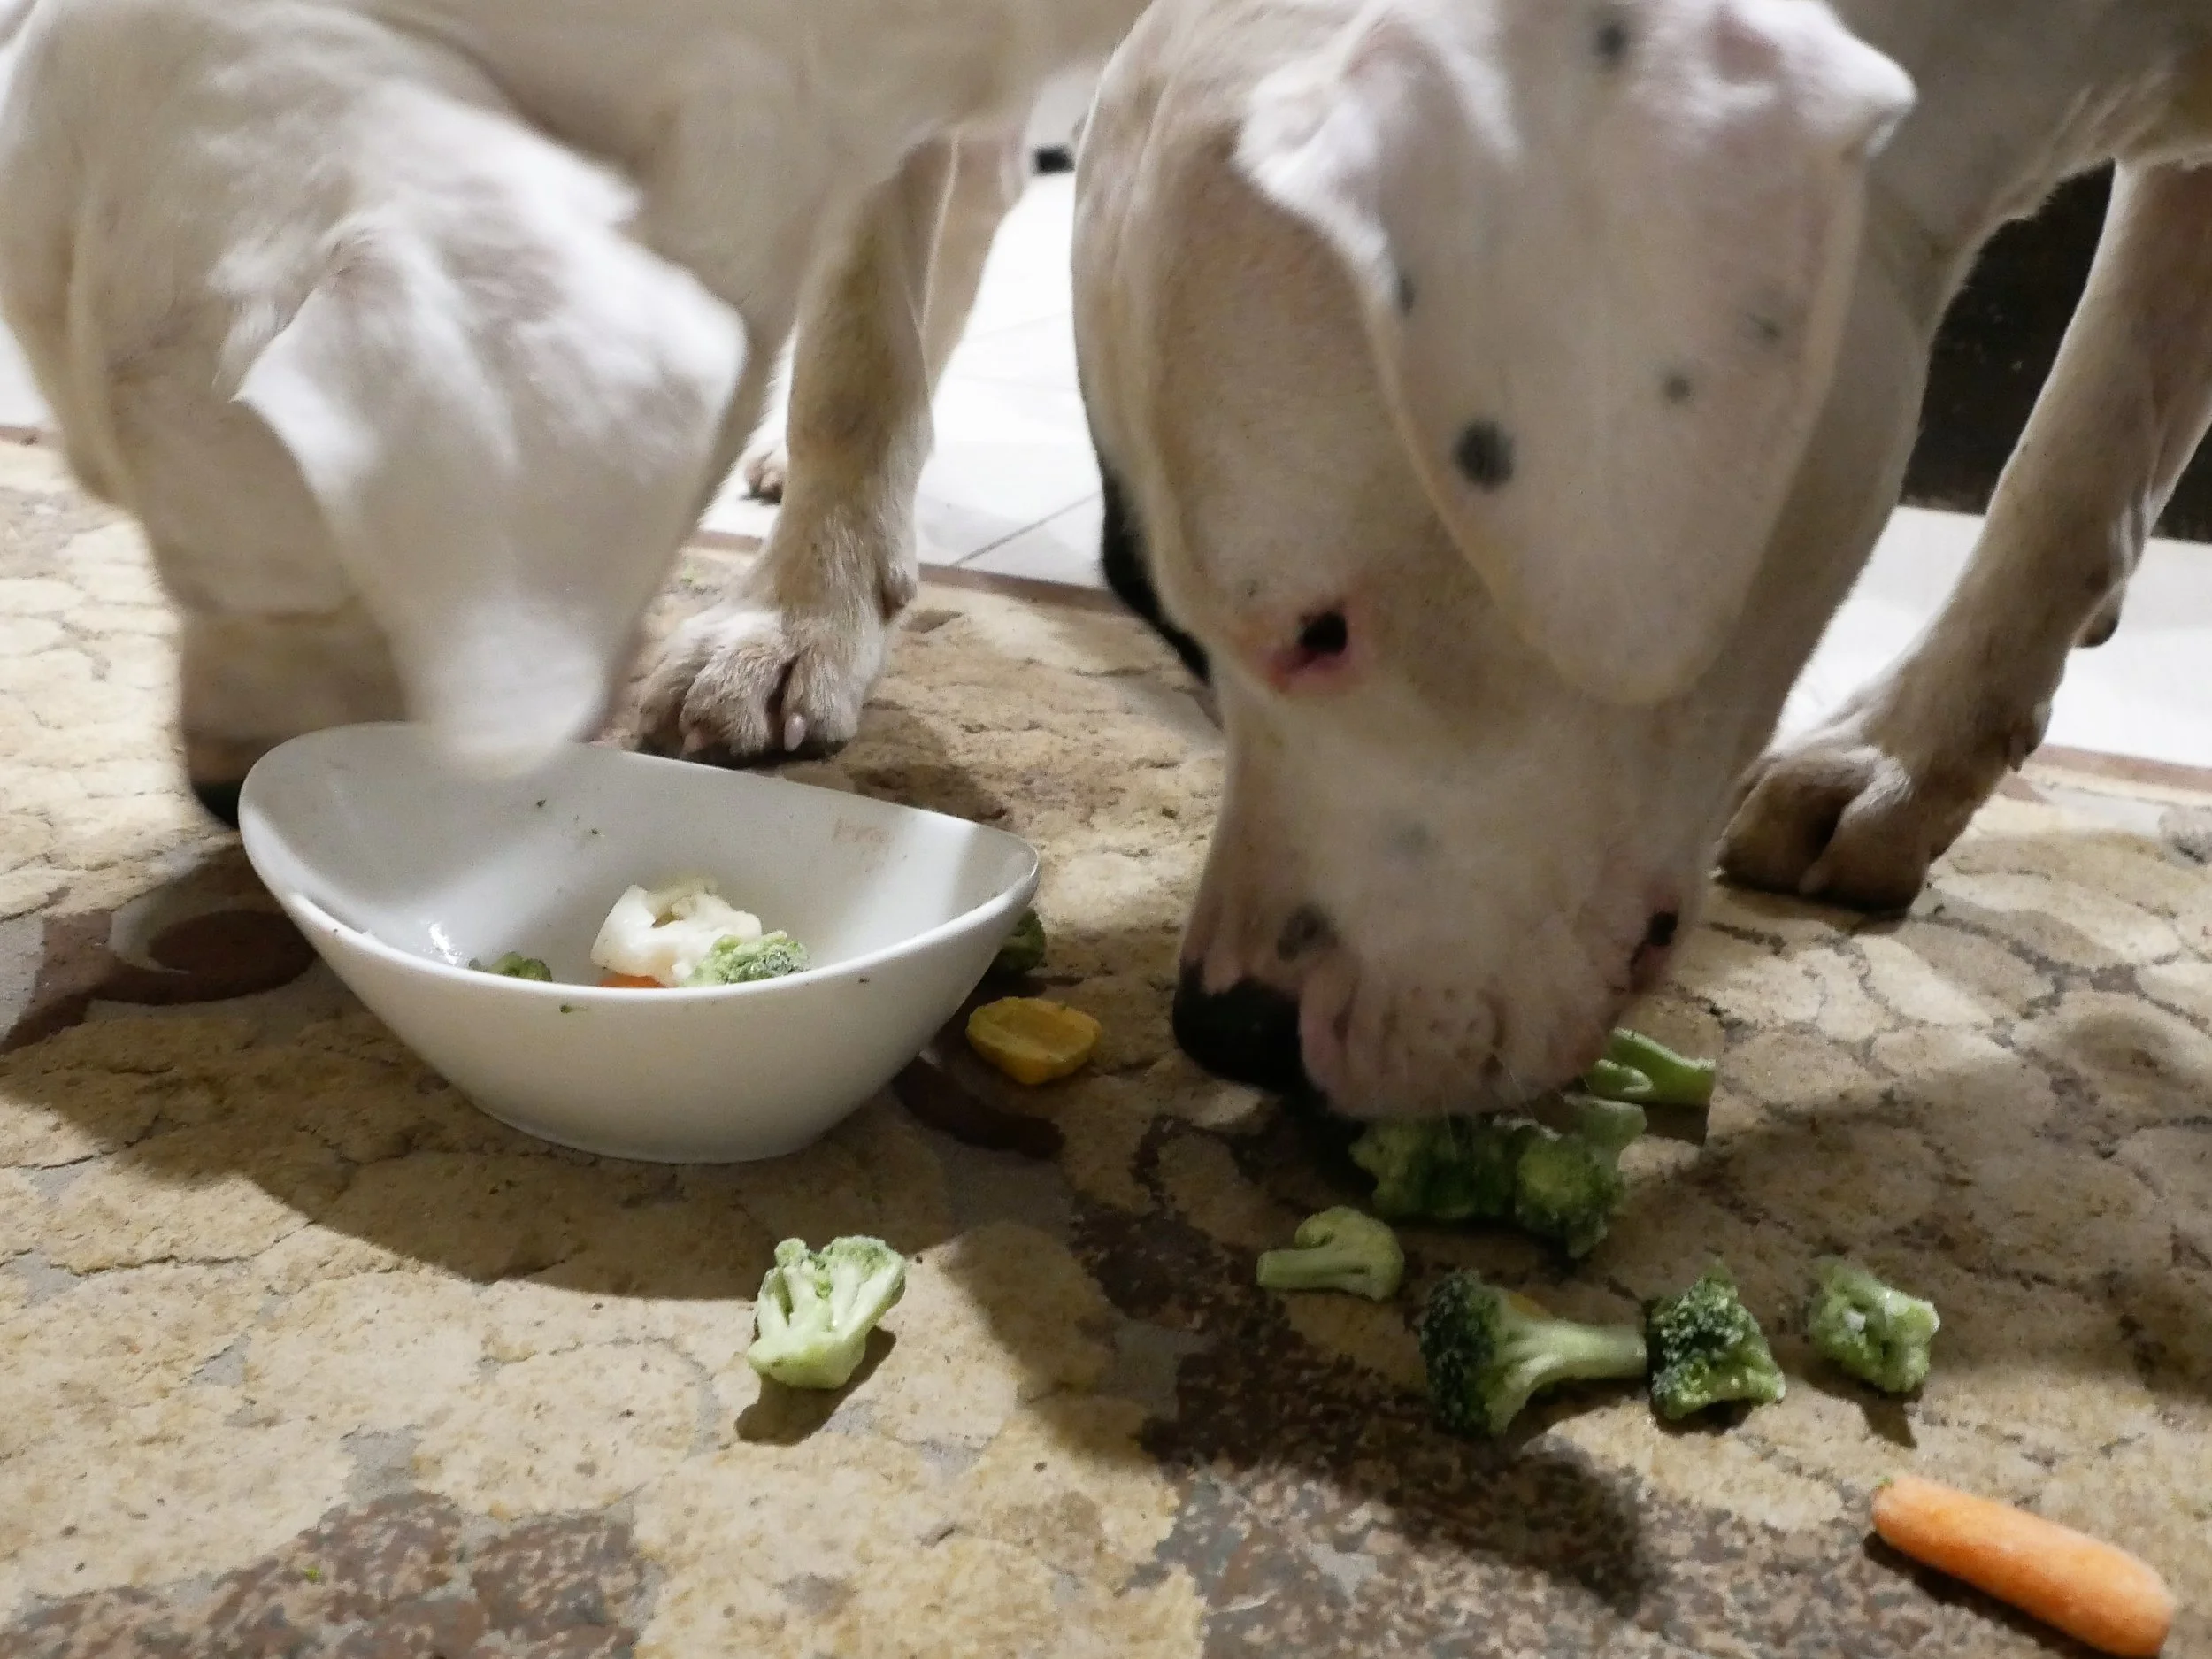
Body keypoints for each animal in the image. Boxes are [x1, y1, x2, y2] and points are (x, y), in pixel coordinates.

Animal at [0, 0, 1144, 818]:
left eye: (305, 584)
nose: (218, 792)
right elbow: (860, 338)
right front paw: (810, 603)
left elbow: (855, 348)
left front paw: (798, 619)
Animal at [1068, 0, 2212, 1115]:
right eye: (1169, 634)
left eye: (1319, 633)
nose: (1224, 1031)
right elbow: (2093, 434)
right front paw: (1909, 751)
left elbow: (2070, 441)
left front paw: (1901, 742)